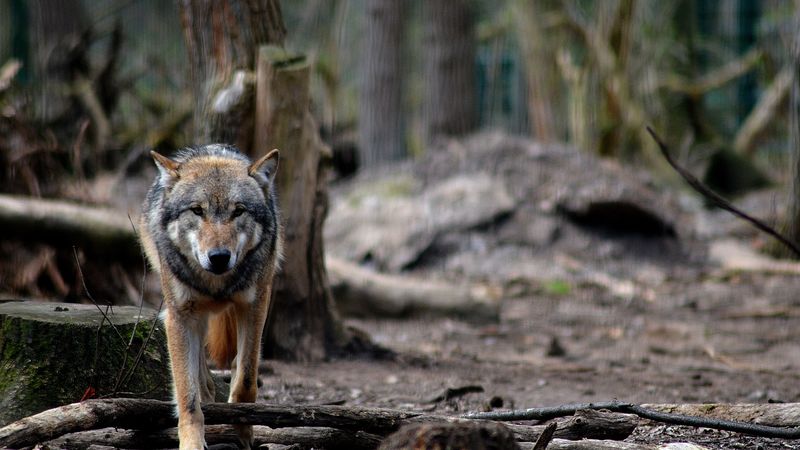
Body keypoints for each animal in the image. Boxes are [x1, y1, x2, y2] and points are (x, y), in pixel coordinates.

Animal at [139, 144, 282, 450]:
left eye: (238, 211)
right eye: (197, 210)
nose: (218, 257)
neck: (217, 285)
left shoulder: (254, 305)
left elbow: (246, 379)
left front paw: (243, 430)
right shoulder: (178, 317)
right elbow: (187, 392)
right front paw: (192, 442)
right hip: (194, 317)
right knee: (201, 377)